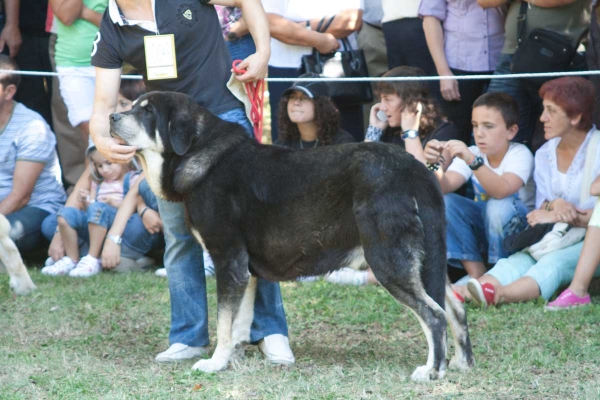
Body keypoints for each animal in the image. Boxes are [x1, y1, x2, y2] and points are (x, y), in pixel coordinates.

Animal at [108, 91, 474, 382]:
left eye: (147, 112)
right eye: (132, 107)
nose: (111, 116)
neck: (200, 154)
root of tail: (415, 170)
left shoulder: (228, 260)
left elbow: (224, 323)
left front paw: (215, 363)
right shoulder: (245, 270)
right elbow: (239, 322)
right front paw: (233, 357)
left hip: (388, 261)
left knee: (435, 315)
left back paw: (432, 371)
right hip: (425, 262)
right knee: (455, 308)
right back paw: (461, 362)